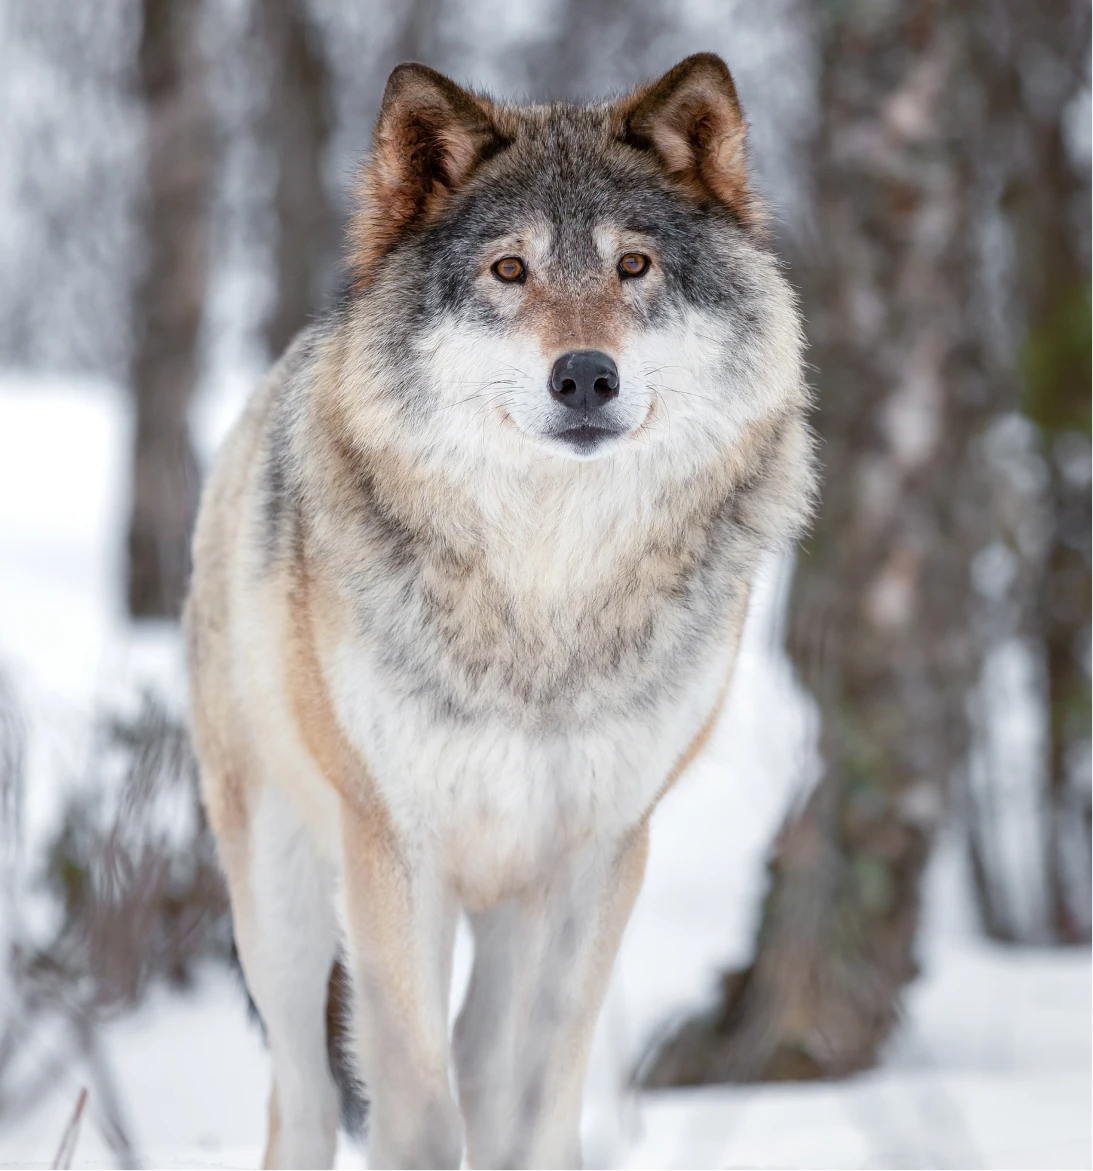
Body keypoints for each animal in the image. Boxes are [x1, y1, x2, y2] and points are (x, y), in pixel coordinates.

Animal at [187, 52, 815, 1171]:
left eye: (634, 266)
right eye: (509, 271)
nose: (585, 376)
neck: (544, 597)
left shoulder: (601, 851)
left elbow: (538, 1094)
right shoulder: (395, 849)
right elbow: (415, 1104)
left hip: (504, 906)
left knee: (481, 1062)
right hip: (284, 900)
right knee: (302, 1097)